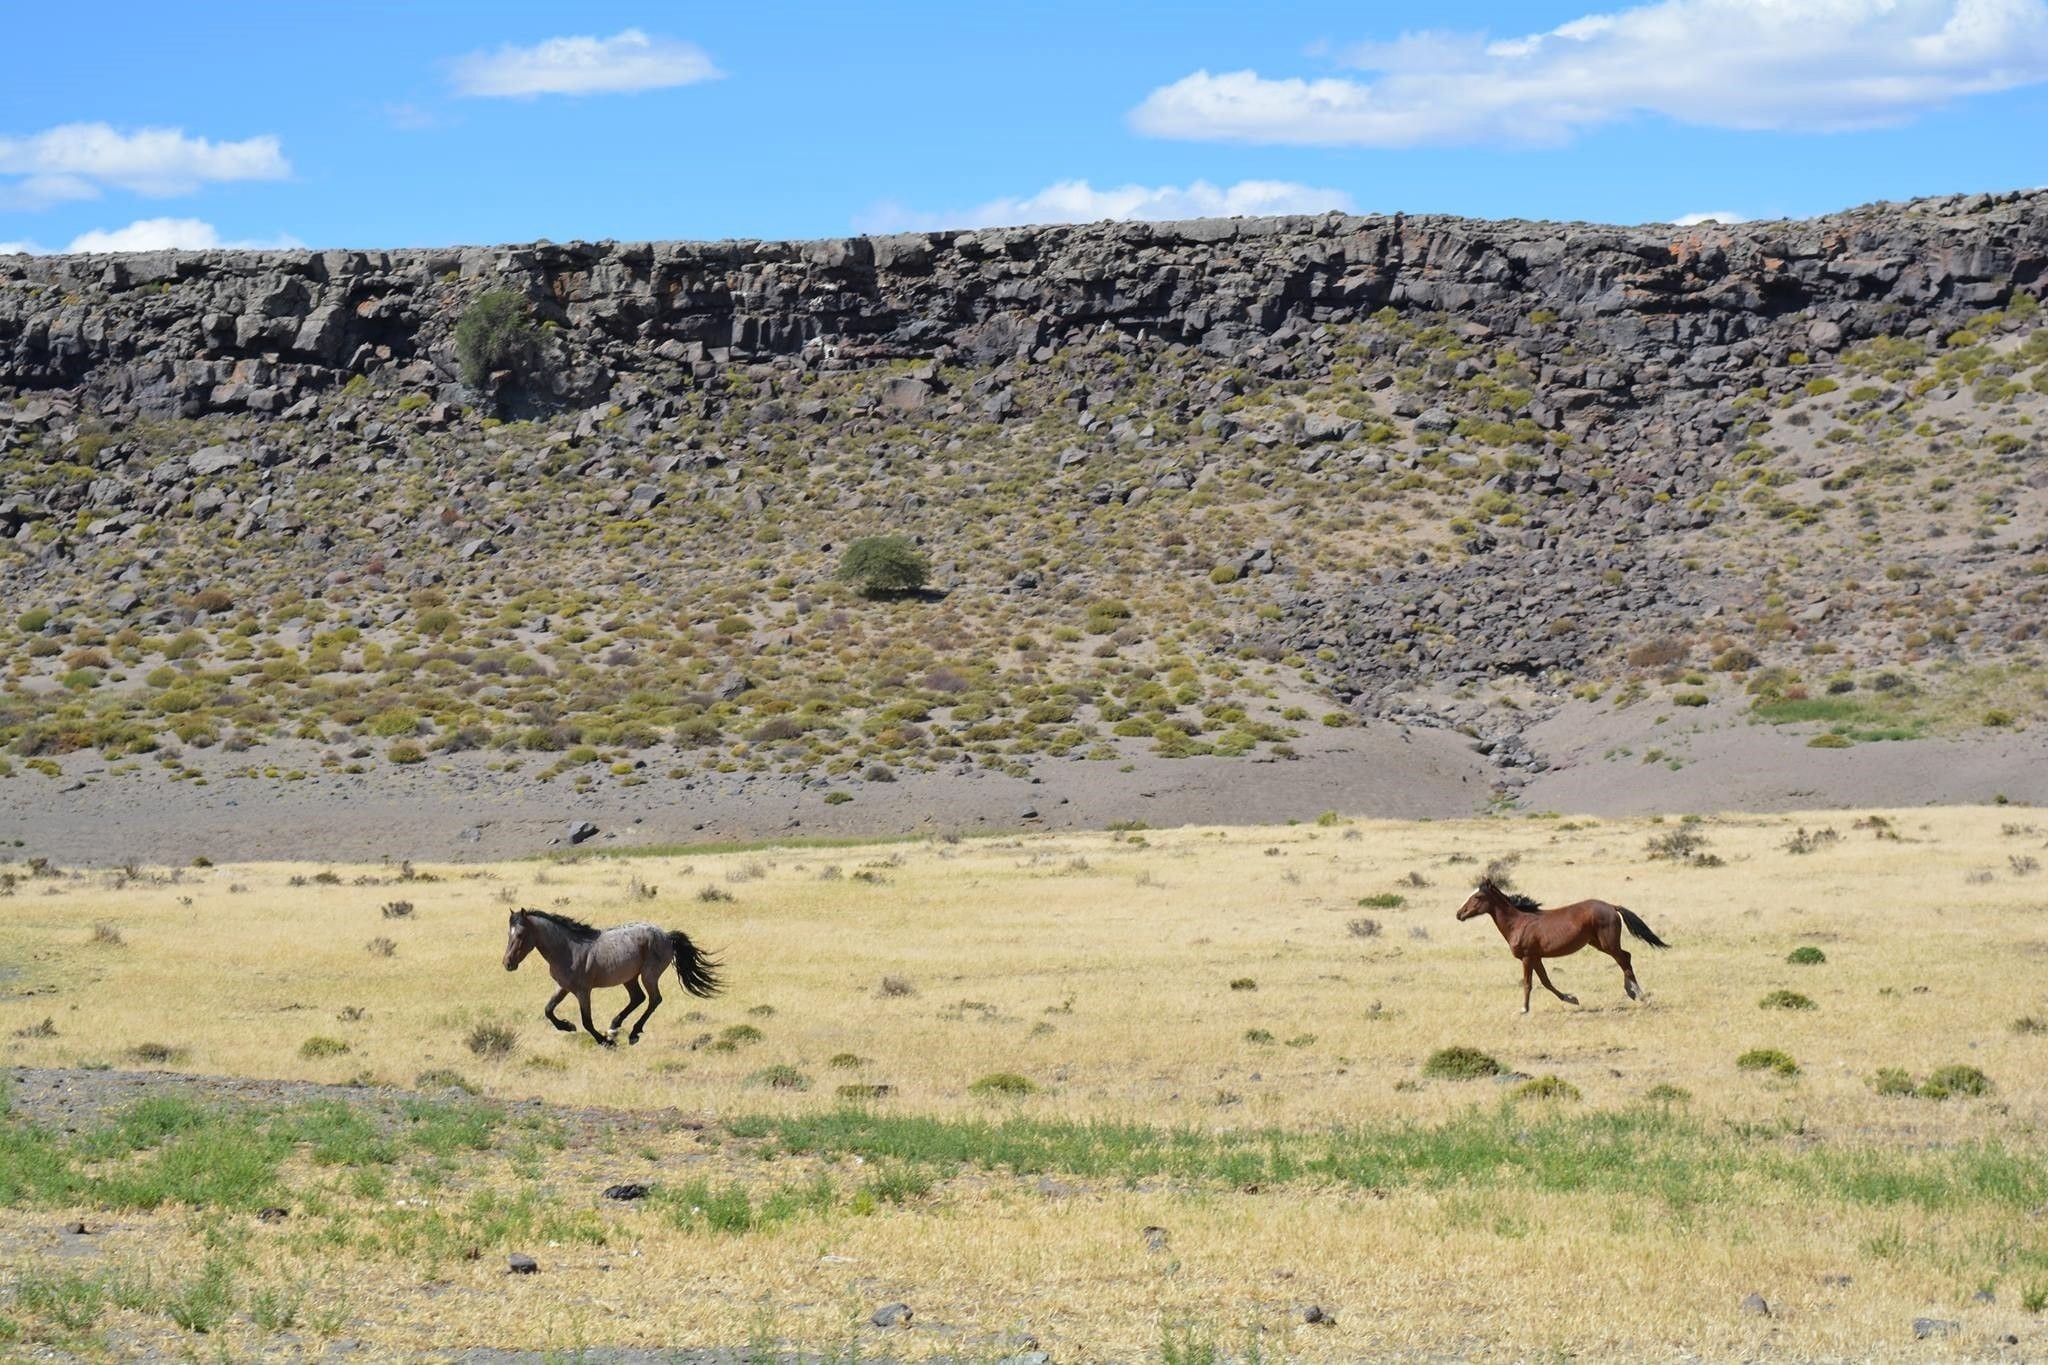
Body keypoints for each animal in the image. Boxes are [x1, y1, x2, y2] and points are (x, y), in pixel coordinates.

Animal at [499, 916, 724, 1047]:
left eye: (521, 934)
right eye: (508, 933)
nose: (507, 963)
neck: (569, 949)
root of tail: (667, 936)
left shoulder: (583, 991)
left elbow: (587, 1021)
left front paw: (604, 1041)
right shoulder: (563, 987)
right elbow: (548, 1010)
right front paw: (567, 1026)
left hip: (648, 975)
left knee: (654, 1000)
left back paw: (632, 1033)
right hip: (630, 978)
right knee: (638, 998)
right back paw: (614, 1027)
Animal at [1449, 888, 1671, 1015]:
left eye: (1478, 896)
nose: (1459, 914)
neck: (1518, 923)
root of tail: (1611, 906)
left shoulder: (1527, 957)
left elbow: (1529, 984)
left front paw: (1524, 1009)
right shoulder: (1537, 957)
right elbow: (1546, 982)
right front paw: (1571, 999)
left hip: (1608, 944)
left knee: (1624, 960)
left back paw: (1639, 995)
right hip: (1598, 944)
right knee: (1626, 957)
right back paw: (1632, 992)